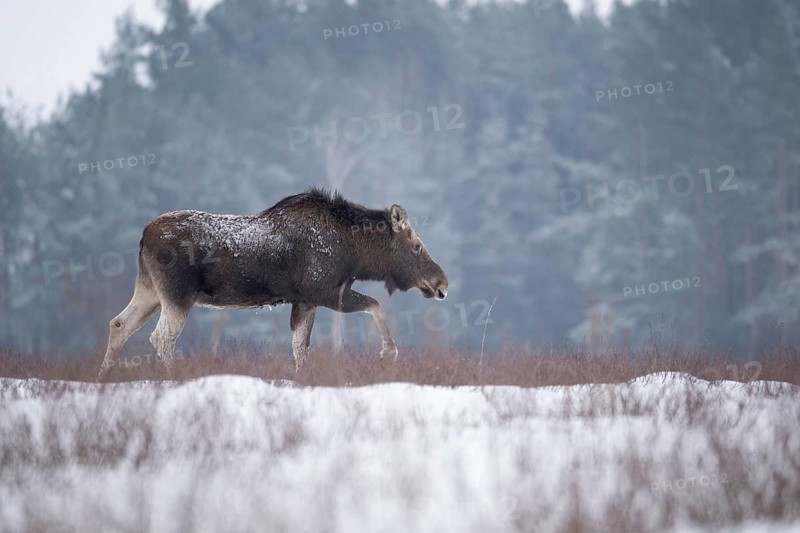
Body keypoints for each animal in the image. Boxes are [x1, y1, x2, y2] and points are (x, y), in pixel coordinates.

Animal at [98, 188, 448, 378]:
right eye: (416, 245)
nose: (441, 282)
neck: (356, 255)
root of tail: (144, 235)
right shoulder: (324, 290)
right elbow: (375, 306)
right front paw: (388, 352)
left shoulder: (305, 300)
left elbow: (299, 347)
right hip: (177, 294)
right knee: (161, 338)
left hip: (149, 290)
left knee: (119, 324)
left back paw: (104, 377)